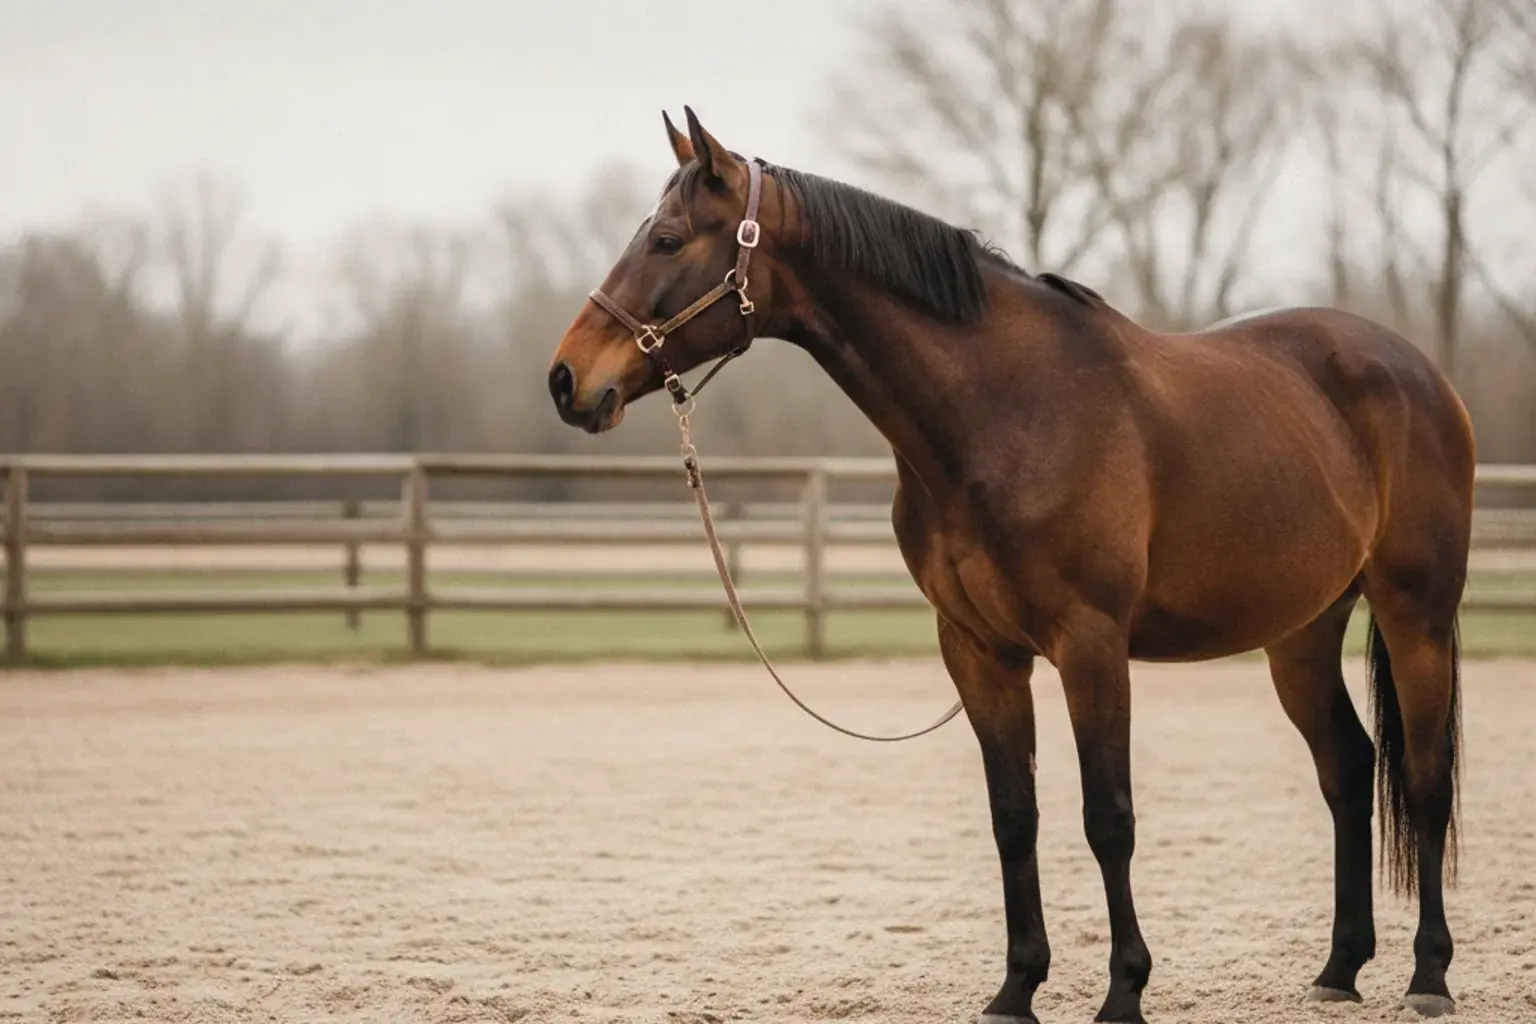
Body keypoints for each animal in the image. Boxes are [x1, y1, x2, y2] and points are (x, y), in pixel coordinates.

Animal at [545, 107, 1473, 1024]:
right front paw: (1016, 989)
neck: (1004, 411)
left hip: (1416, 616)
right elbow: (1013, 816)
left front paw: (1124, 992)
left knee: (1425, 779)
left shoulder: (1091, 645)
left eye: (667, 239)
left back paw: (1429, 976)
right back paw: (1339, 968)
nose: (565, 380)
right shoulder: (979, 650)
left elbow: (1108, 818)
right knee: (1348, 769)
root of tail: (1420, 373)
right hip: (1303, 632)